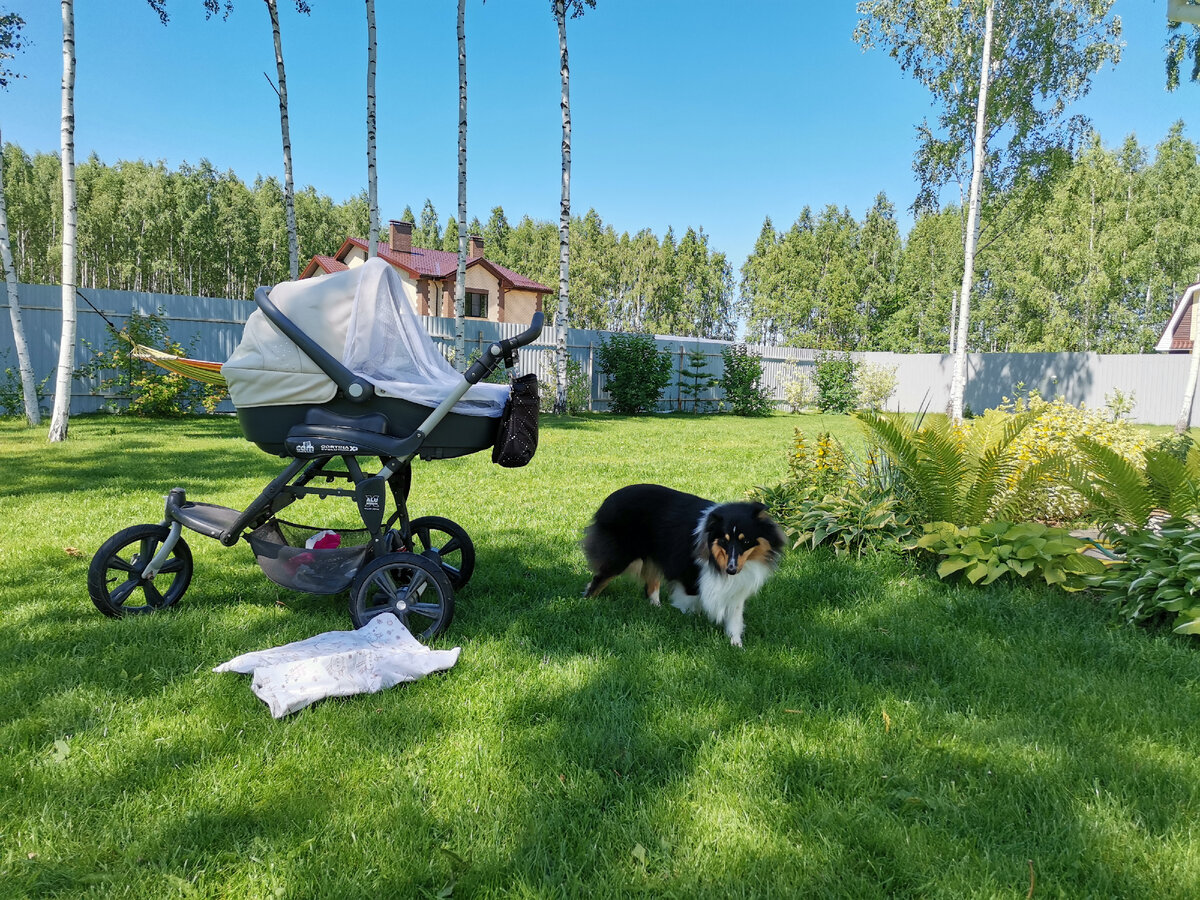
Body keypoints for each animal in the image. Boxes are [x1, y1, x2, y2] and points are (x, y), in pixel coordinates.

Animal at [580, 487, 787, 648]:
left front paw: (736, 644)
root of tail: (608, 500)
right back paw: (586, 602)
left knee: (651, 584)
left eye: (746, 541)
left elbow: (734, 617)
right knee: (598, 580)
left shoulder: (736, 587)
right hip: (620, 557)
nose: (731, 570)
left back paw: (656, 607)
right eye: (724, 540)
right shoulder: (690, 577)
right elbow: (691, 605)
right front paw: (689, 624)